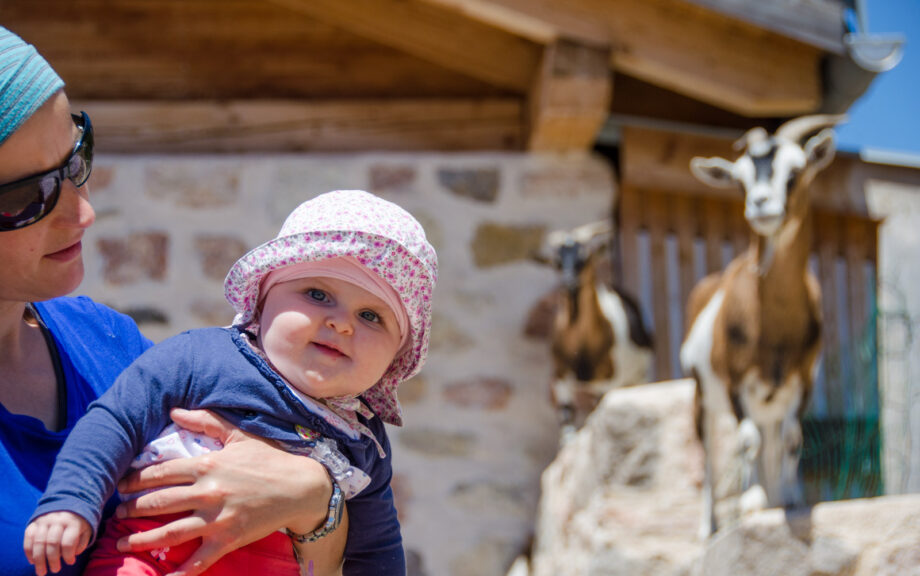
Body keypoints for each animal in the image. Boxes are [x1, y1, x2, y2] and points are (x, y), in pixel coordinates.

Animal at [532, 220, 656, 440]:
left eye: (584, 257)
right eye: (557, 261)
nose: (569, 282)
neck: (582, 350)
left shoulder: (606, 382)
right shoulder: (561, 379)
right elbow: (568, 428)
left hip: (638, 376)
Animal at [680, 115, 844, 536]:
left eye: (796, 171)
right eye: (740, 180)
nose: (760, 204)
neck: (774, 329)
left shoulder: (803, 381)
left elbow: (791, 439)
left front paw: (789, 499)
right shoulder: (736, 382)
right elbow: (746, 440)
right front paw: (751, 503)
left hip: (771, 401)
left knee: (771, 442)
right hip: (704, 397)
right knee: (712, 453)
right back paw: (709, 525)